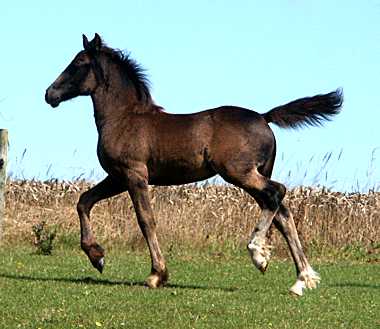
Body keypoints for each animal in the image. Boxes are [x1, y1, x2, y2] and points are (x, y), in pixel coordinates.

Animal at [46, 33, 342, 294]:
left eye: (79, 63)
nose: (50, 94)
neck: (124, 118)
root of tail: (263, 116)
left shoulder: (134, 175)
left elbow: (145, 220)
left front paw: (157, 275)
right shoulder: (117, 177)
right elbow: (84, 201)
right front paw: (97, 256)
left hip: (239, 172)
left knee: (277, 192)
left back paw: (258, 254)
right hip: (254, 174)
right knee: (282, 213)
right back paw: (301, 279)